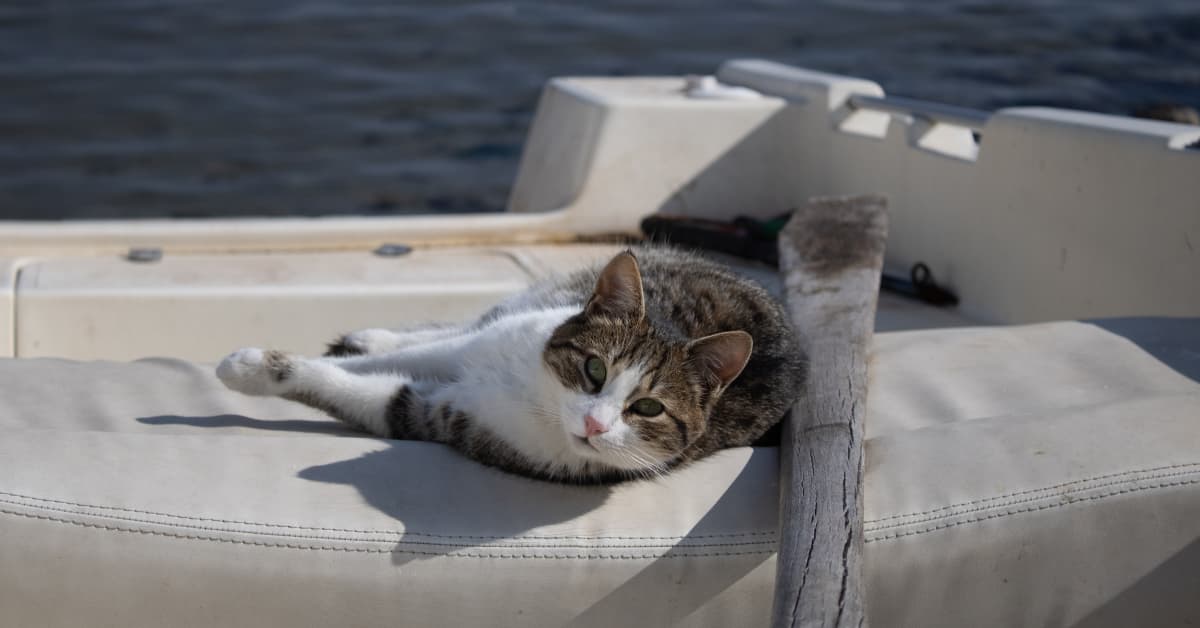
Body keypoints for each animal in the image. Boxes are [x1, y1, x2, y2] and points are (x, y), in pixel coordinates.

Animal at [220, 248, 811, 485]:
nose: (596, 424)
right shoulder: (473, 352)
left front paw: (250, 369)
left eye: (648, 408)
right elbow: (410, 354)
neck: (537, 393)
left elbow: (359, 389)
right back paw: (369, 335)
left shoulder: (440, 413)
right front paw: (252, 361)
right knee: (466, 321)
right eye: (594, 370)